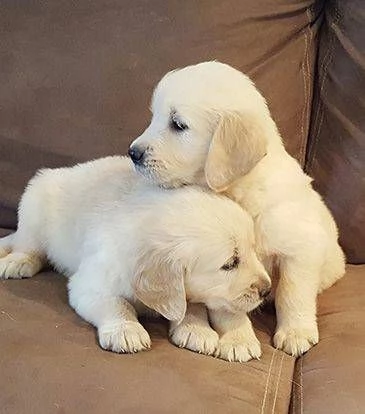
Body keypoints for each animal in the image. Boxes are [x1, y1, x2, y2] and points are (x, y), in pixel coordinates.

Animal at [0, 157, 270, 360]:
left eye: (253, 250)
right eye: (229, 264)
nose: (267, 290)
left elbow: (197, 305)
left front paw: (200, 329)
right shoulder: (90, 284)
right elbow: (117, 304)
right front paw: (126, 330)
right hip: (34, 205)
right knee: (29, 246)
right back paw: (18, 261)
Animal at [129, 60, 346, 356]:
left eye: (178, 124)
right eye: (154, 117)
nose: (133, 153)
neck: (241, 191)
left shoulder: (301, 249)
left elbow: (293, 293)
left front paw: (296, 332)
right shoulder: (221, 280)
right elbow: (227, 303)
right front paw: (238, 340)